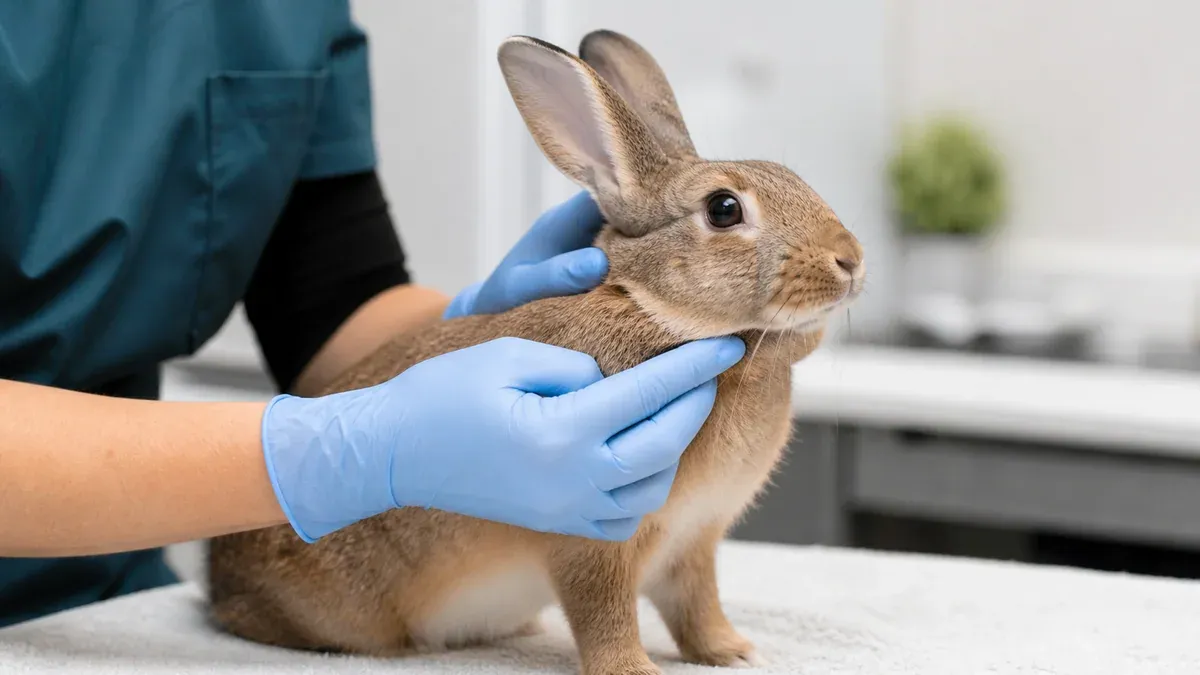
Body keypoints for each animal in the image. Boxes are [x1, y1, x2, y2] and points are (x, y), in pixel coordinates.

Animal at [207, 29, 864, 675]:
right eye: (724, 209)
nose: (851, 259)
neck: (659, 313)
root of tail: (217, 580)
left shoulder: (693, 539)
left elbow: (696, 606)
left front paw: (733, 651)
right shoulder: (594, 537)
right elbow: (605, 615)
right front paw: (632, 670)